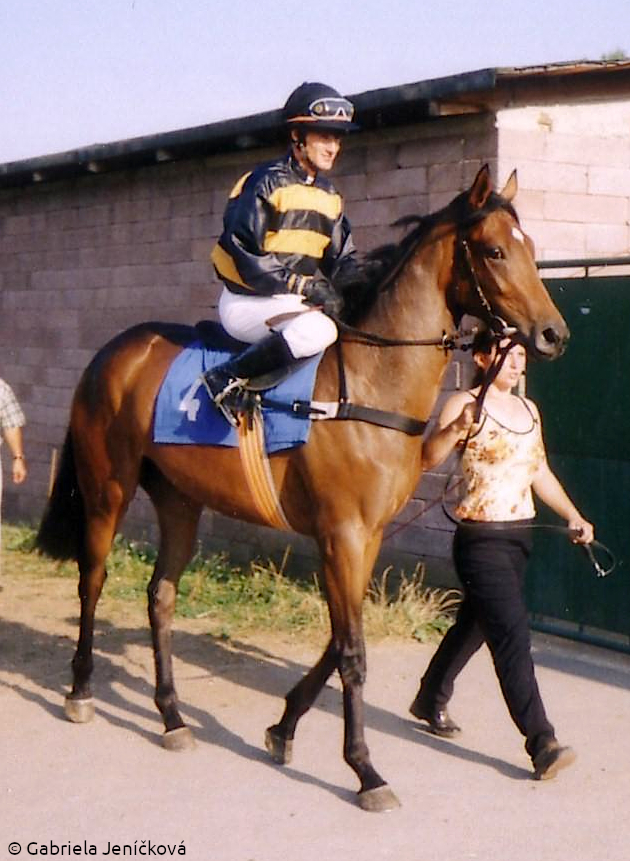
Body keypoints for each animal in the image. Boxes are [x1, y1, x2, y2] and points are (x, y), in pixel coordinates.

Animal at [36, 165, 568, 812]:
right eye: (494, 251)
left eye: (531, 248)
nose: (553, 335)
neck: (367, 383)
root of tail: (112, 352)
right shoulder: (341, 534)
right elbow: (352, 652)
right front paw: (366, 770)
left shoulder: (366, 536)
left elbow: (339, 641)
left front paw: (284, 725)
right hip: (107, 488)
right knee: (92, 580)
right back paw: (81, 690)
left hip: (179, 500)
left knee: (160, 595)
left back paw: (172, 718)